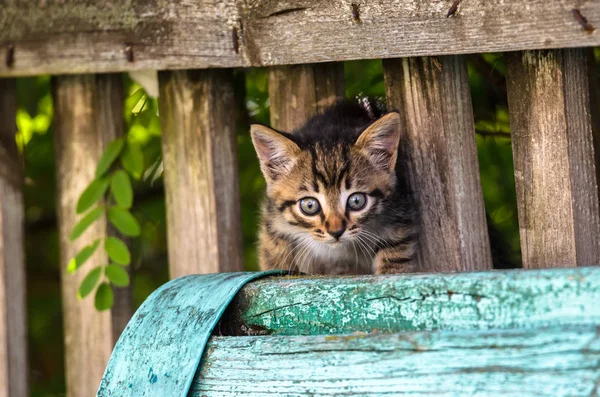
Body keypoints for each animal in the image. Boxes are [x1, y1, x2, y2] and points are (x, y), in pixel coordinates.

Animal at [248, 99, 418, 274]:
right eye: (309, 205)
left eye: (356, 201)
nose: (336, 232)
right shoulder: (273, 223)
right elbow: (274, 257)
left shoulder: (400, 214)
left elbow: (396, 255)